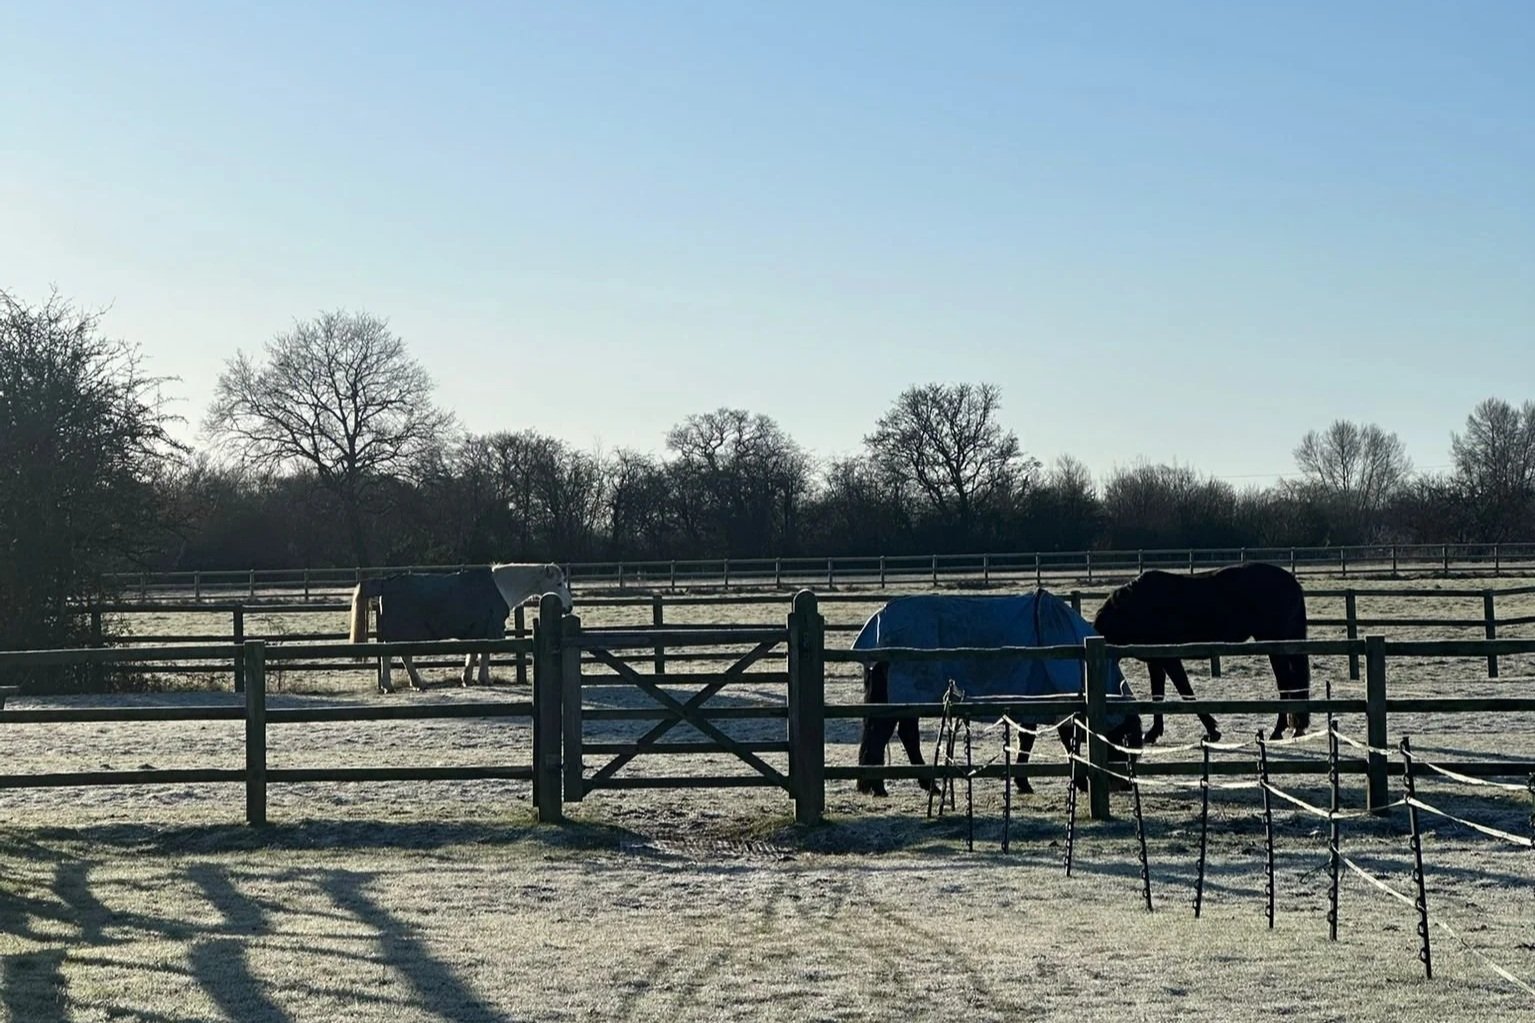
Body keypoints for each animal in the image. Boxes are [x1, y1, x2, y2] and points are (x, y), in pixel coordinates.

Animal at [348, 562, 572, 693]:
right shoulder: (489, 628)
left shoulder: (477, 630)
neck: (501, 587)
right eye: (559, 583)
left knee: (402, 657)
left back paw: (414, 683)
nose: (569, 607)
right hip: (399, 633)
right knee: (391, 657)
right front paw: (484, 679)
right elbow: (484, 654)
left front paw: (468, 679)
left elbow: (473, 654)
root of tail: (386, 583)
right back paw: (394, 685)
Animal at [851, 592, 1143, 797]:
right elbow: (1068, 740)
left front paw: (1023, 781)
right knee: (896, 735)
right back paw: (909, 785)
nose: (1125, 785)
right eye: (1126, 741)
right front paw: (1079, 781)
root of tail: (879, 622)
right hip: (906, 696)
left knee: (885, 733)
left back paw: (883, 785)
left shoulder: (1035, 701)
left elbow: (1028, 740)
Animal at [1091, 562, 1310, 745]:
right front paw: (1153, 733)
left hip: (1273, 644)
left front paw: (1212, 731)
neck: (1135, 608)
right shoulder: (1155, 660)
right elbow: (1157, 695)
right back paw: (1295, 728)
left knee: (1284, 683)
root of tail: (1291, 582)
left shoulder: (1169, 659)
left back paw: (1277, 731)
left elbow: (1185, 690)